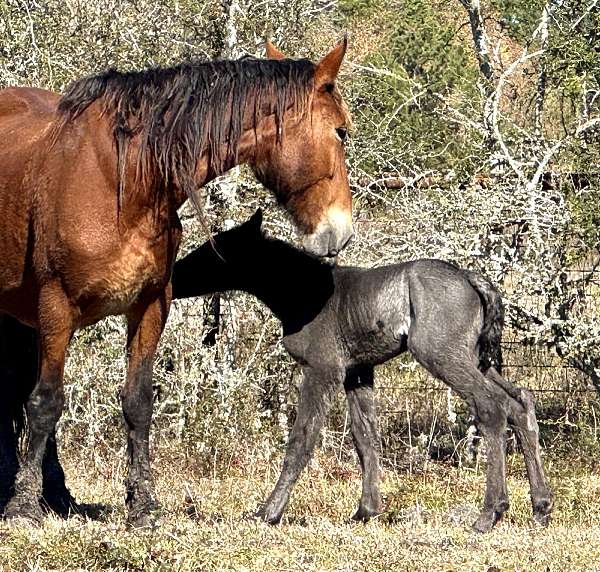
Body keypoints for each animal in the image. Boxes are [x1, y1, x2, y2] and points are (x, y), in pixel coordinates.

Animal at [0, 38, 354, 524]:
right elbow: (45, 402)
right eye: (341, 132)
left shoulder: (150, 305)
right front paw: (21, 506)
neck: (123, 179)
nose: (342, 233)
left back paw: (57, 493)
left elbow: (137, 402)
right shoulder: (56, 307)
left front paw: (142, 504)